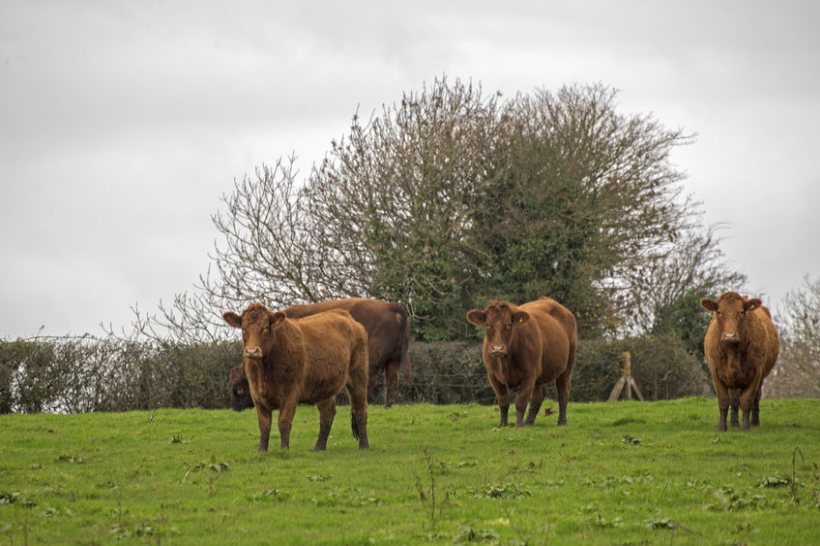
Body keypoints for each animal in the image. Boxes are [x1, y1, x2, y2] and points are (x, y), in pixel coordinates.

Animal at [221, 302, 368, 450]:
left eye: (266, 328)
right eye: (243, 329)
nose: (252, 351)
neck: (264, 372)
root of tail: (344, 314)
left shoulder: (290, 392)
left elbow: (284, 422)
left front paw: (284, 449)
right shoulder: (256, 394)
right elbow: (264, 425)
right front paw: (262, 450)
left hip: (358, 377)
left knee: (360, 410)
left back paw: (364, 446)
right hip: (324, 385)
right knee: (327, 413)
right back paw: (319, 447)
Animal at [227, 298, 410, 408]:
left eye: (240, 389)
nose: (234, 407)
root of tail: (393, 308)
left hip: (371, 360)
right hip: (395, 360)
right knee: (392, 380)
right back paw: (388, 405)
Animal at [468, 296, 576, 428]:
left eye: (509, 325)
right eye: (487, 325)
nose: (497, 348)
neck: (505, 362)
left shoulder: (530, 373)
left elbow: (521, 400)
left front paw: (519, 425)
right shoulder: (492, 375)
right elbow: (503, 401)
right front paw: (503, 424)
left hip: (567, 365)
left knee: (562, 393)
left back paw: (562, 421)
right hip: (540, 372)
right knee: (538, 396)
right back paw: (529, 422)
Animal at [700, 292, 780, 432]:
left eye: (742, 312)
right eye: (719, 312)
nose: (730, 335)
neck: (732, 353)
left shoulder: (756, 374)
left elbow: (747, 401)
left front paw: (745, 427)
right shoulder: (716, 374)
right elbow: (724, 401)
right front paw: (722, 427)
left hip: (760, 377)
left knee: (755, 398)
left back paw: (754, 422)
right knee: (734, 400)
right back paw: (734, 423)